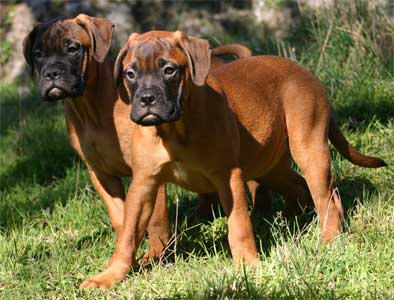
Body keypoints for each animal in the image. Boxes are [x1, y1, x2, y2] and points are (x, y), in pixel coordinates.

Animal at [79, 29, 384, 288]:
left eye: (169, 70)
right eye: (130, 73)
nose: (146, 98)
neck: (174, 128)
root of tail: (304, 72)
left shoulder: (228, 177)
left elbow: (238, 225)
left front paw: (248, 266)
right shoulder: (143, 184)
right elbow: (128, 234)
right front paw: (110, 275)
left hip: (309, 148)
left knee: (326, 196)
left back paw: (329, 239)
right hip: (269, 165)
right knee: (299, 187)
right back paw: (291, 222)